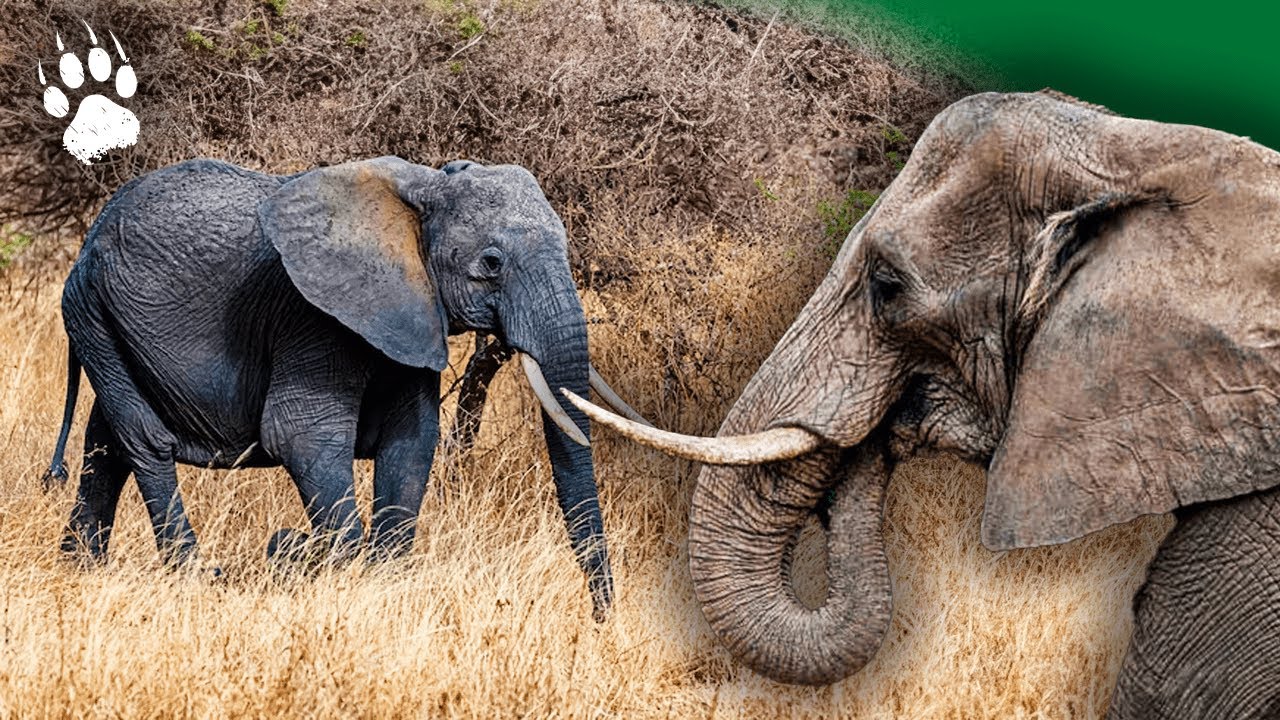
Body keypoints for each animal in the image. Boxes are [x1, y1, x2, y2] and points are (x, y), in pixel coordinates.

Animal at [46, 154, 645, 620]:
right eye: (491, 263)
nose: (599, 619)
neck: (423, 191)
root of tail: (92, 235)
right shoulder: (311, 316)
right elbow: (303, 437)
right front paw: (321, 565)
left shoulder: (407, 309)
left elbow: (412, 442)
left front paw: (377, 582)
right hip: (90, 310)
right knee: (144, 438)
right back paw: (196, 575)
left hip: (104, 319)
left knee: (107, 441)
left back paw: (81, 568)